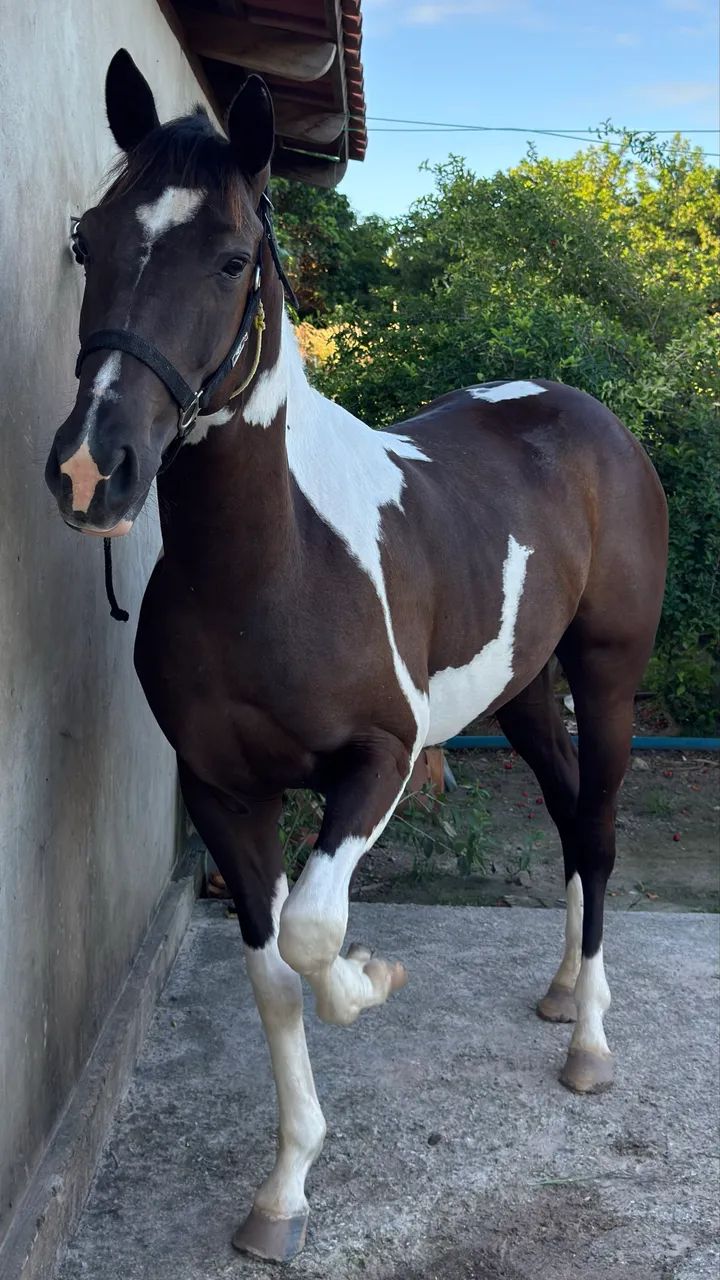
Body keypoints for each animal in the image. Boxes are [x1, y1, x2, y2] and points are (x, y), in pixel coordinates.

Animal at [45, 49, 668, 1263]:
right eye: (90, 239)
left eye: (231, 257)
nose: (96, 469)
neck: (270, 564)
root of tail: (592, 417)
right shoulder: (223, 792)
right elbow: (271, 970)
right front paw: (283, 1192)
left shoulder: (380, 759)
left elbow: (314, 933)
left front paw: (375, 975)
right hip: (522, 693)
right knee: (570, 816)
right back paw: (562, 991)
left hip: (607, 674)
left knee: (602, 829)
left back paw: (590, 1044)